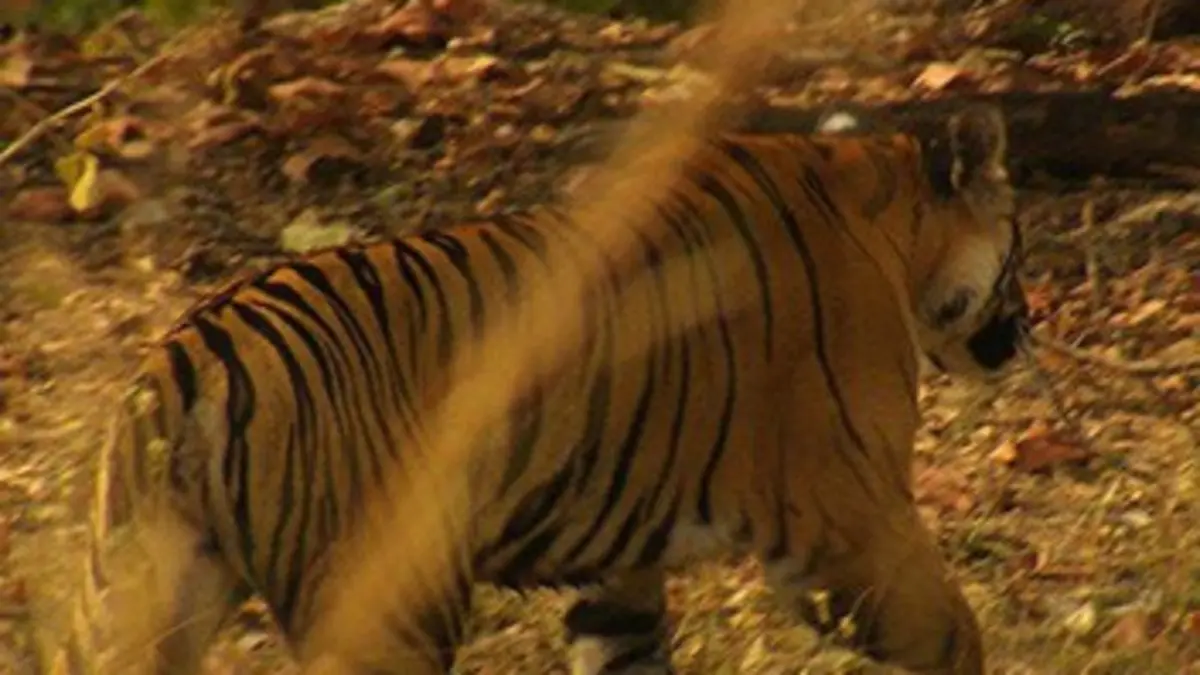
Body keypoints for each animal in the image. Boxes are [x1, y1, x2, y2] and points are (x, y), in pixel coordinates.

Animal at [40, 102, 1027, 675]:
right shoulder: (848, 520)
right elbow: (953, 636)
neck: (887, 224)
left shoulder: (618, 564)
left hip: (142, 590)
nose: (1029, 323)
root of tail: (187, 358)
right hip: (391, 600)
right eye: (1019, 242)